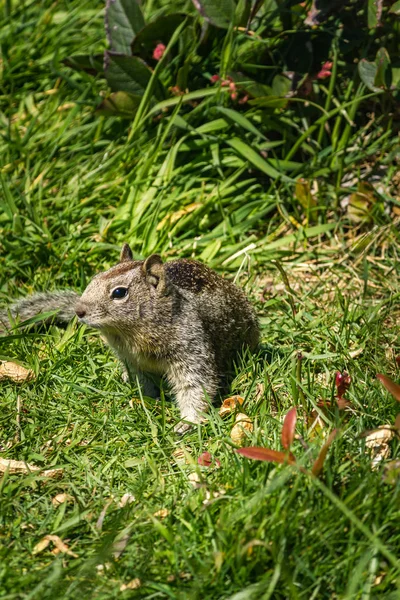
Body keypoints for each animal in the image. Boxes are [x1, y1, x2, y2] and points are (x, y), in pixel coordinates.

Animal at [1, 244, 260, 432]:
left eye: (119, 292)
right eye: (94, 279)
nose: (79, 310)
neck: (134, 334)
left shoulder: (191, 350)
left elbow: (196, 385)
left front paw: (187, 422)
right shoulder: (131, 360)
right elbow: (142, 381)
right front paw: (144, 400)